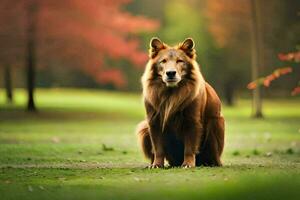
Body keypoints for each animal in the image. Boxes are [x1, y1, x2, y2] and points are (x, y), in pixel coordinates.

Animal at [137, 37, 224, 167]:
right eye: (163, 61)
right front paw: (157, 164)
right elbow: (158, 148)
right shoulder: (154, 122)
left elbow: (189, 148)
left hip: (215, 123)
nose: (170, 73)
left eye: (180, 61)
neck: (171, 94)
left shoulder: (192, 121)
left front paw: (188, 164)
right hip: (144, 128)